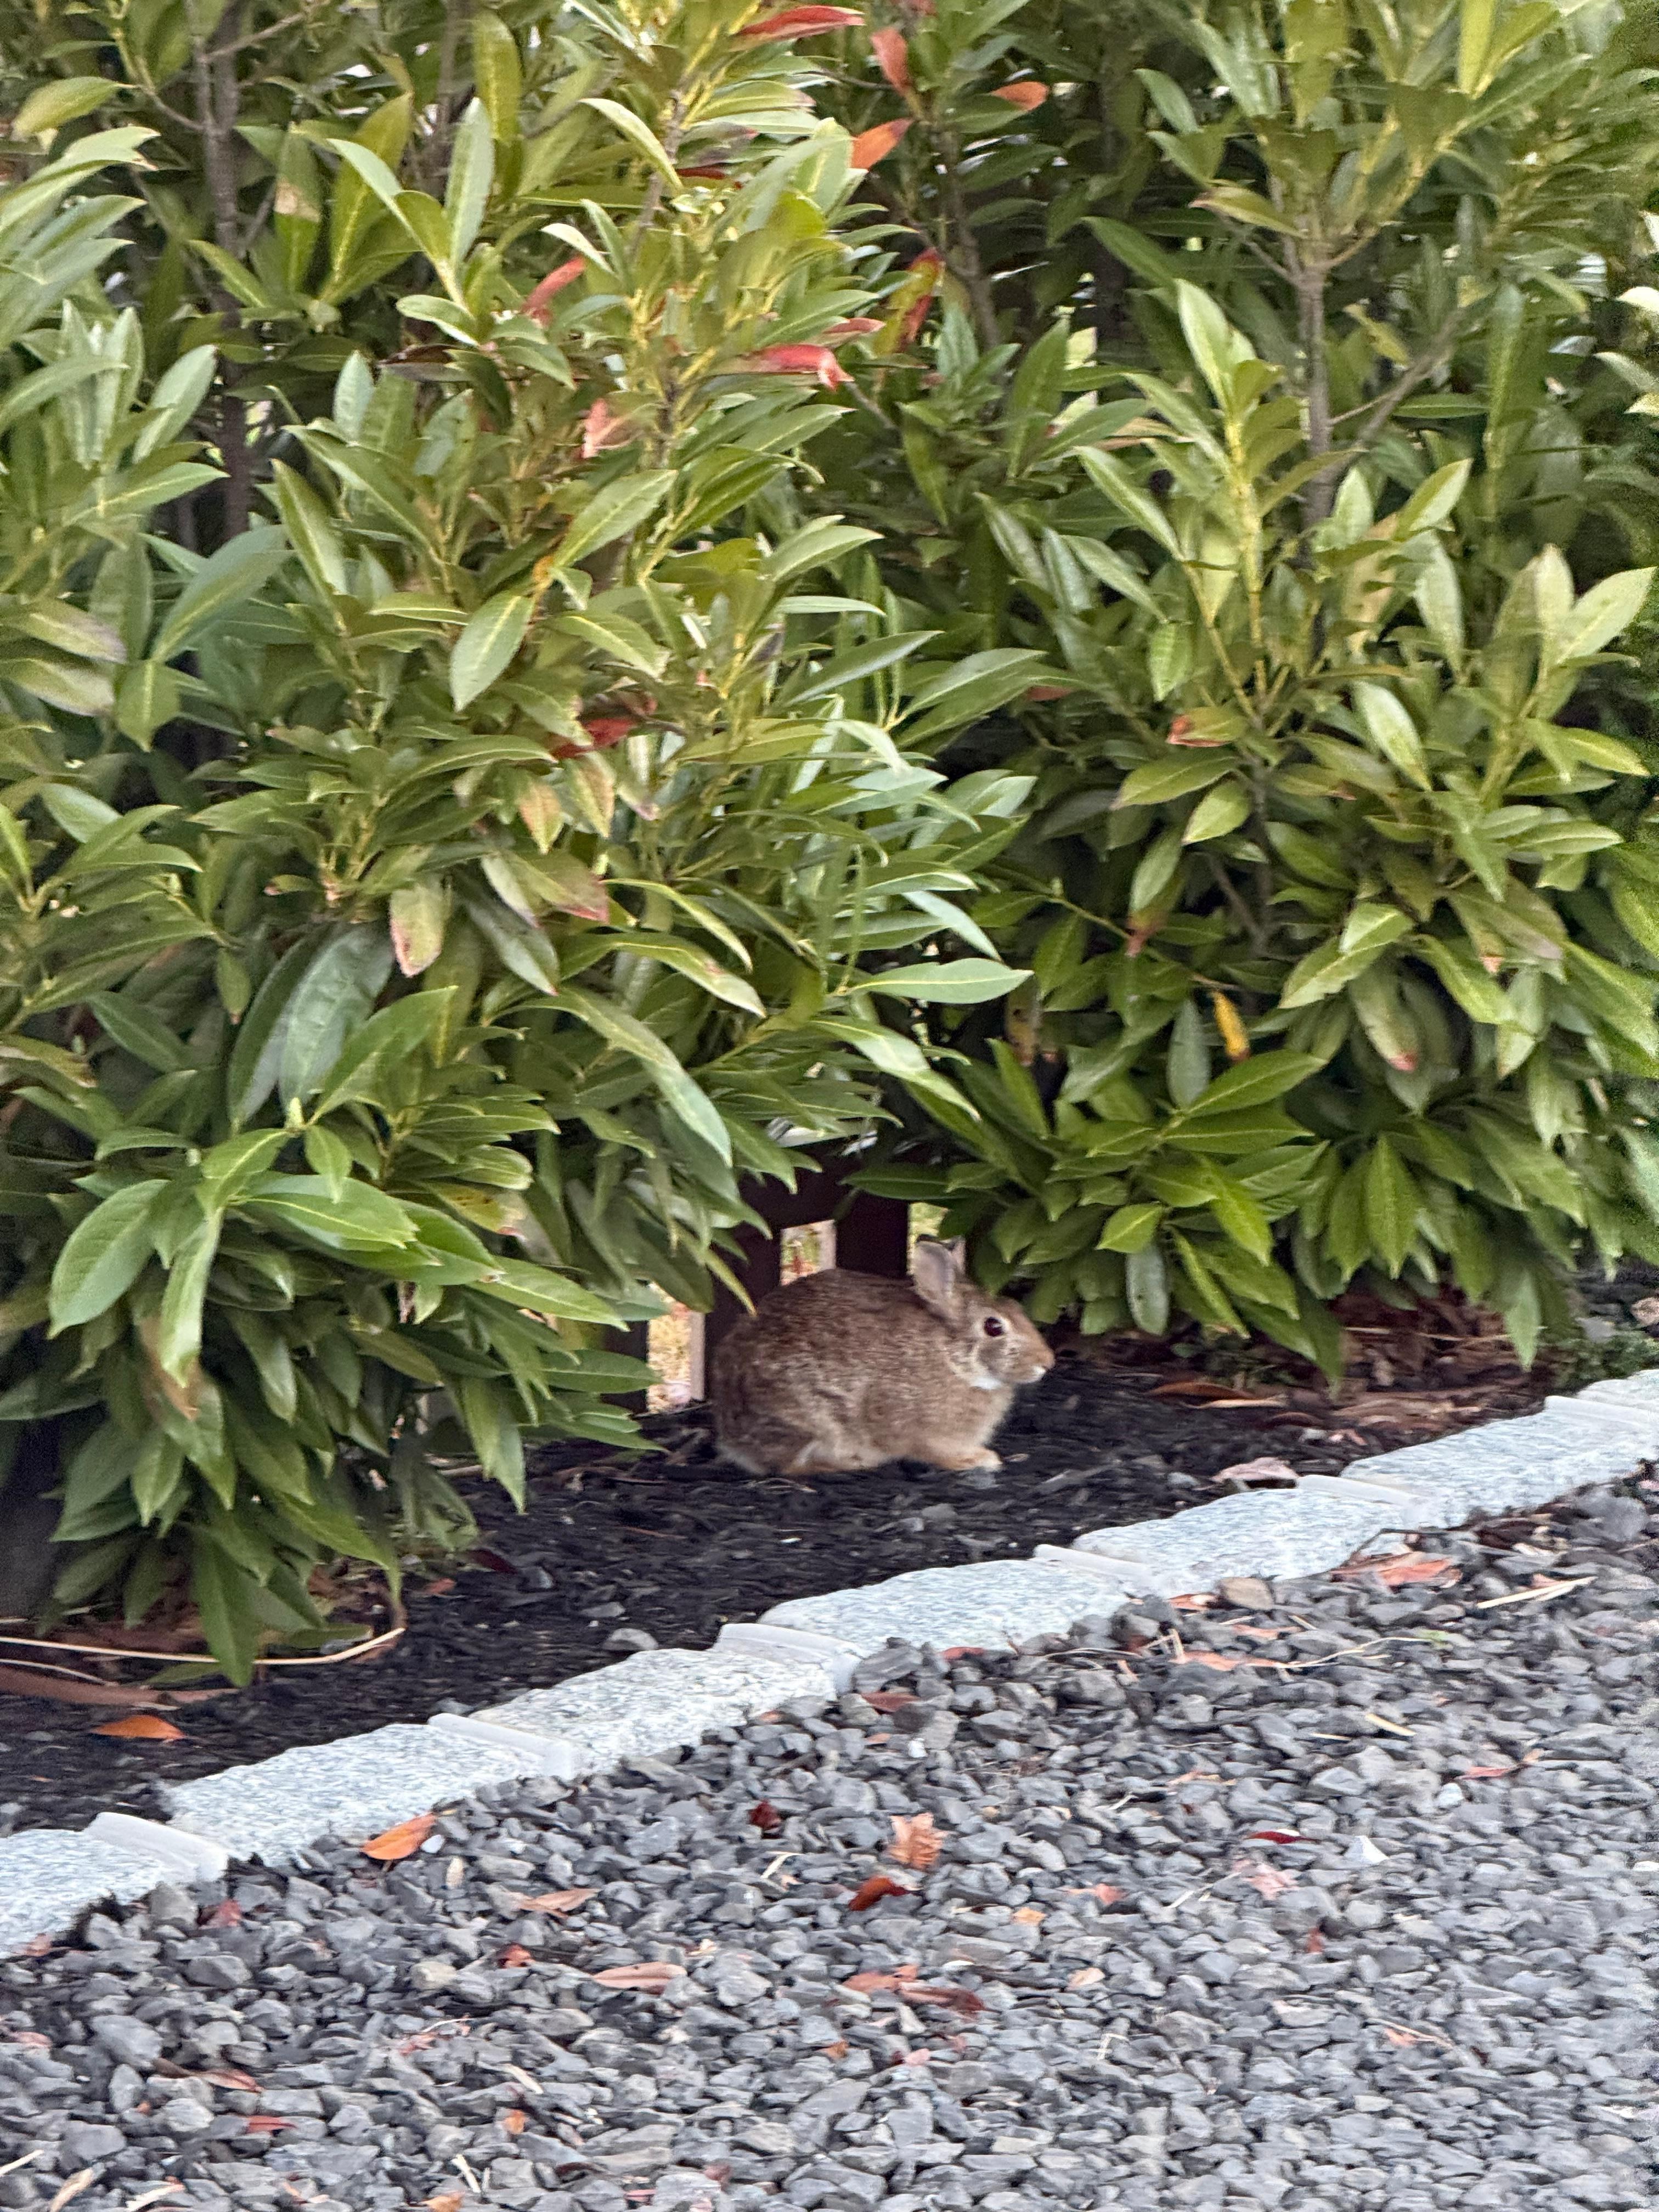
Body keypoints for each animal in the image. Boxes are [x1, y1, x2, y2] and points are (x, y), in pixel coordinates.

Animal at [710, 1236, 1055, 1476]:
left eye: (1016, 1307)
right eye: (993, 1327)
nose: (1047, 1363)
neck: (952, 1358)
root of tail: (730, 1436)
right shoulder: (923, 1432)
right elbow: (935, 1452)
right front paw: (980, 1460)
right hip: (809, 1420)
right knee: (790, 1467)